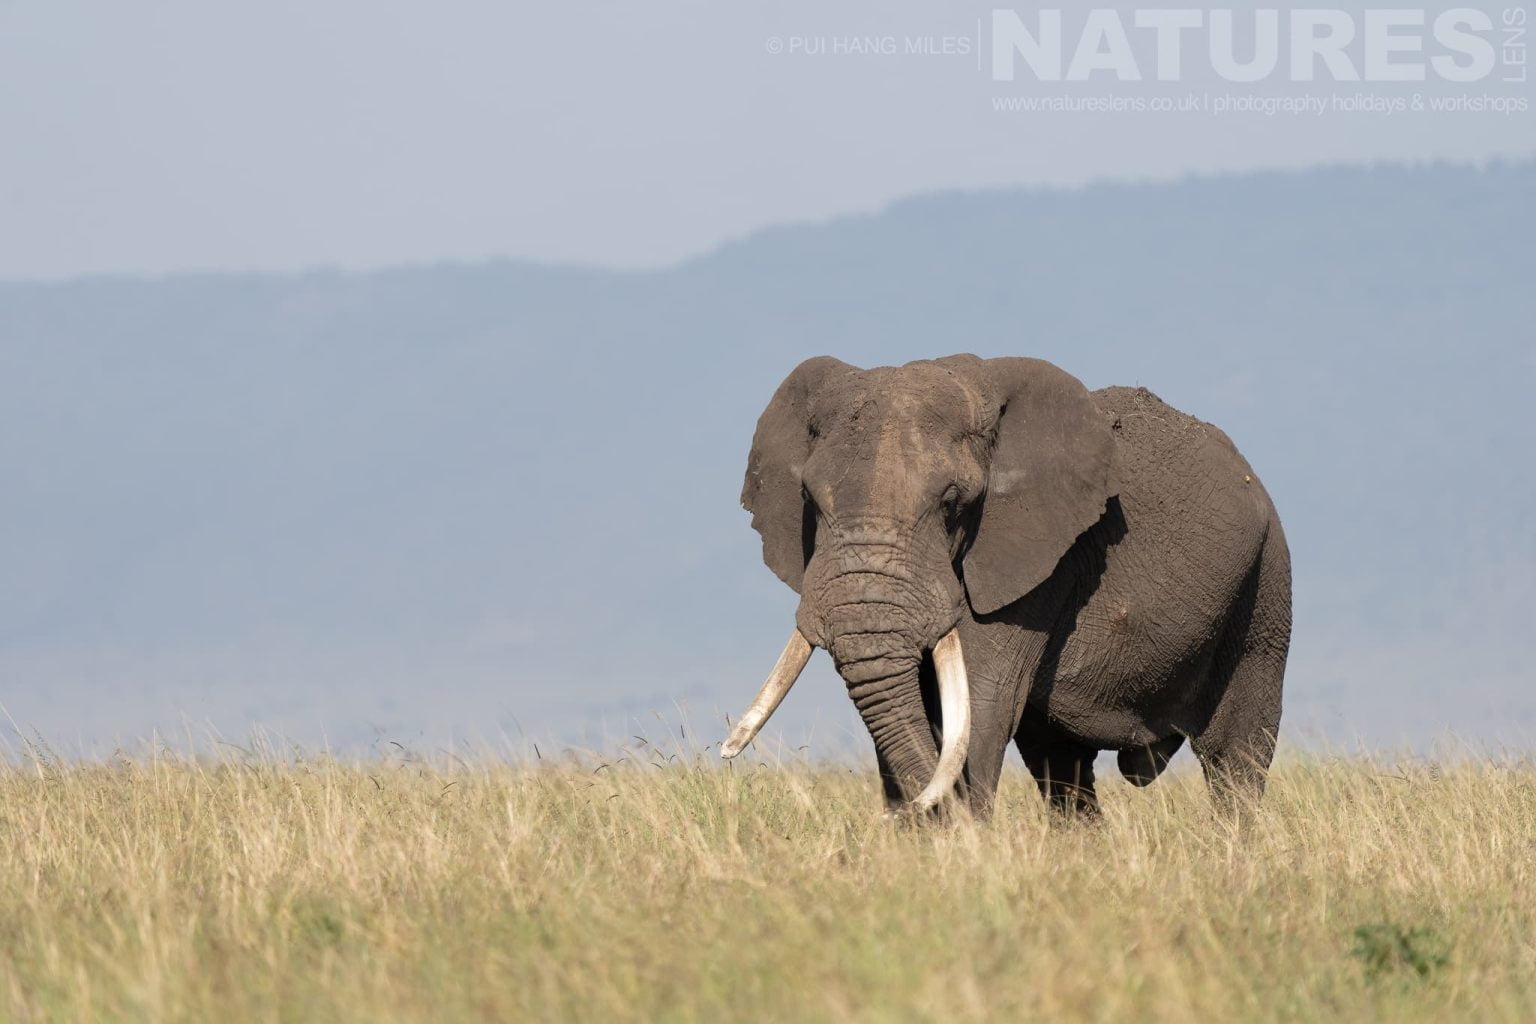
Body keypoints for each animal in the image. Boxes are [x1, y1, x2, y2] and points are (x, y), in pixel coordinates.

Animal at [720, 355, 1291, 819]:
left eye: (952, 503)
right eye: (810, 499)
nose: (906, 814)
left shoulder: (1036, 568)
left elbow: (980, 702)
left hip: (1265, 589)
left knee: (1236, 757)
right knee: (1062, 767)